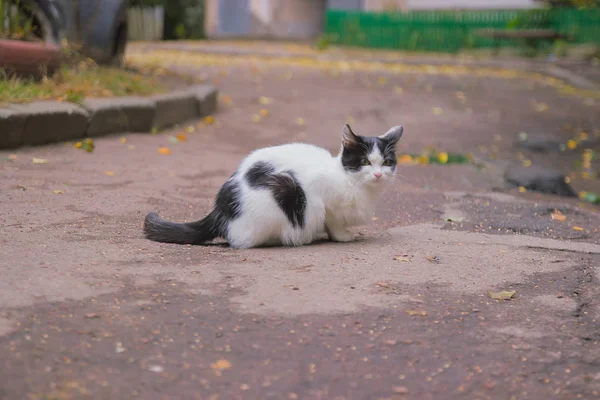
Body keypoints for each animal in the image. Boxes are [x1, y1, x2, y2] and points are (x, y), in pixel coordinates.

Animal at [144, 123, 404, 248]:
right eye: (365, 162)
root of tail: (219, 210)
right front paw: (342, 236)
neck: (350, 181)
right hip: (283, 189)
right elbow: (334, 223)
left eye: (387, 162)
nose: (378, 174)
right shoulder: (324, 203)